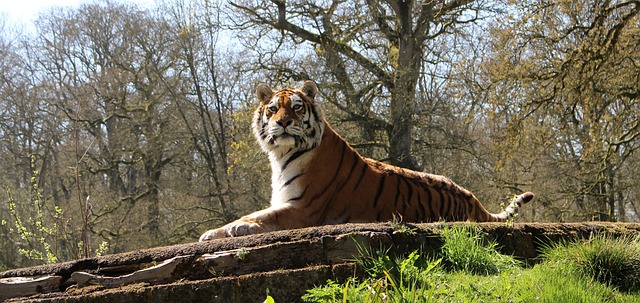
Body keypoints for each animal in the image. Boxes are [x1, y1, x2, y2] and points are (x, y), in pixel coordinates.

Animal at [199, 81, 528, 242]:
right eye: (272, 109)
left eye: (296, 107)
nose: (281, 122)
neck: (282, 155)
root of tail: (471, 196)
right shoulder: (284, 202)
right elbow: (251, 215)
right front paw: (214, 232)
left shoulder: (302, 208)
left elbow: (262, 219)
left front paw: (237, 230)